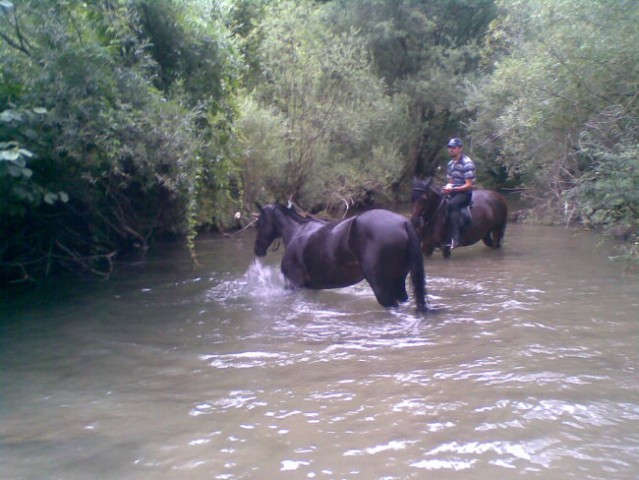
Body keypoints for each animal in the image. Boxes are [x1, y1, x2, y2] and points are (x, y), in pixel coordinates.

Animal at [252, 203, 428, 312]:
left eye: (259, 222)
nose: (257, 249)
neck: (297, 232)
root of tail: (403, 223)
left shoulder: (293, 284)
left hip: (381, 286)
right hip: (399, 282)